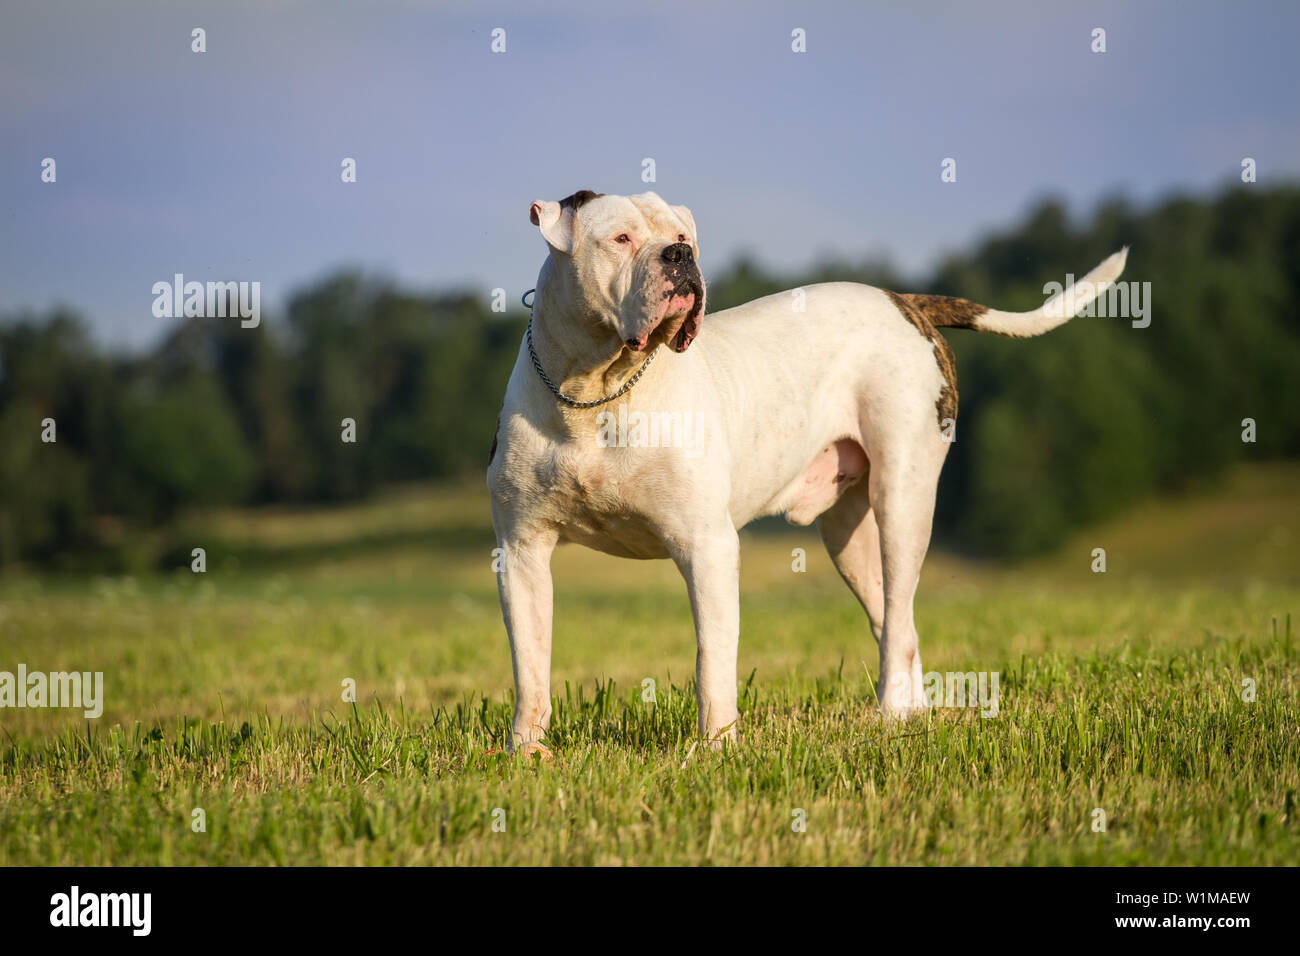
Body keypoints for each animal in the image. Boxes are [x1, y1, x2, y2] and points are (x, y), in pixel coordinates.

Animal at [488, 188, 1128, 754]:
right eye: (621, 239)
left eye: (683, 238)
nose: (681, 256)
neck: (595, 391)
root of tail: (903, 301)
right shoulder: (521, 551)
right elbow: (529, 662)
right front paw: (526, 750)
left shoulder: (706, 546)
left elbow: (712, 657)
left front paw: (716, 749)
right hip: (849, 535)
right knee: (897, 620)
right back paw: (909, 715)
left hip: (903, 497)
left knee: (899, 617)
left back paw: (888, 715)